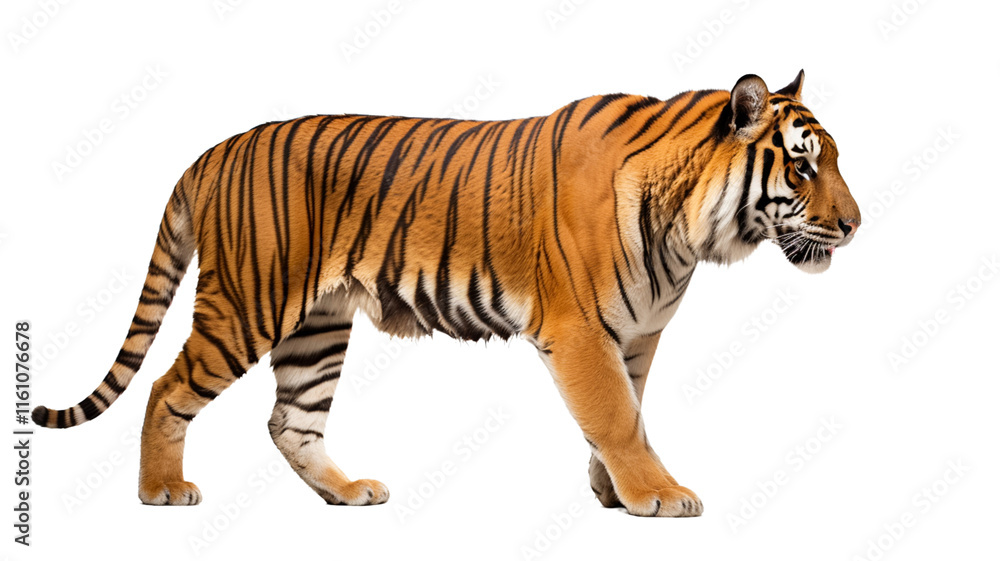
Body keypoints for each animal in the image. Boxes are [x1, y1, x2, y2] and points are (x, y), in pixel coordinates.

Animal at [33, 70, 860, 517]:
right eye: (803, 166)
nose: (855, 224)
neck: (689, 230)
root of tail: (213, 149)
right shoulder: (582, 328)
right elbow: (618, 415)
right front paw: (658, 494)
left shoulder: (636, 332)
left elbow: (627, 408)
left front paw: (616, 490)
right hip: (249, 303)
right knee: (166, 387)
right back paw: (162, 489)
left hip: (317, 325)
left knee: (290, 420)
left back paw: (346, 491)